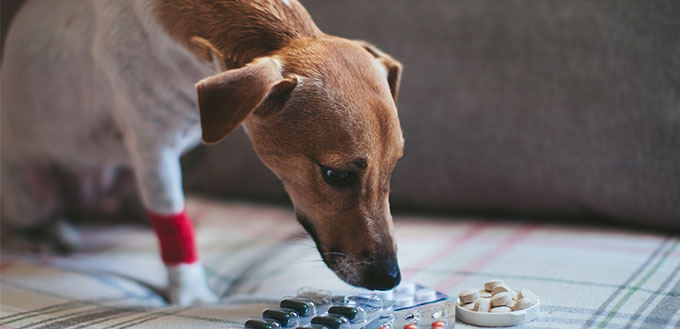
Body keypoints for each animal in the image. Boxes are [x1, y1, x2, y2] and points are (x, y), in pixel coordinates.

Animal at [1, 0, 404, 304]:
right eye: (335, 174)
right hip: (31, 193)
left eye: (393, 167)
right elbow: (173, 226)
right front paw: (192, 295)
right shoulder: (155, 153)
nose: (391, 279)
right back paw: (40, 236)